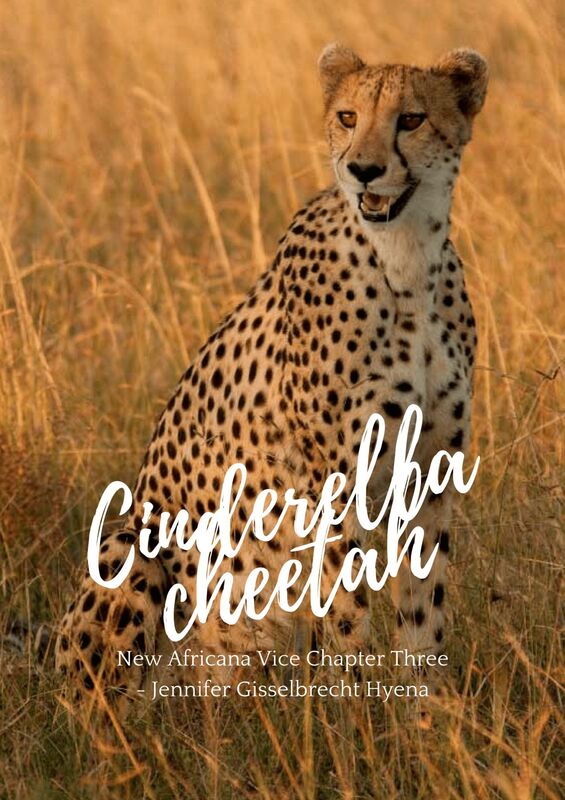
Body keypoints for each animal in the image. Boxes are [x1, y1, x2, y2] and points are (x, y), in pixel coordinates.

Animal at [55, 43, 488, 714]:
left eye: (412, 120)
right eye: (347, 116)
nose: (363, 170)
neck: (406, 261)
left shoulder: (432, 472)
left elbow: (425, 605)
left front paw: (427, 713)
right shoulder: (334, 480)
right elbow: (348, 607)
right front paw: (357, 716)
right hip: (136, 542)